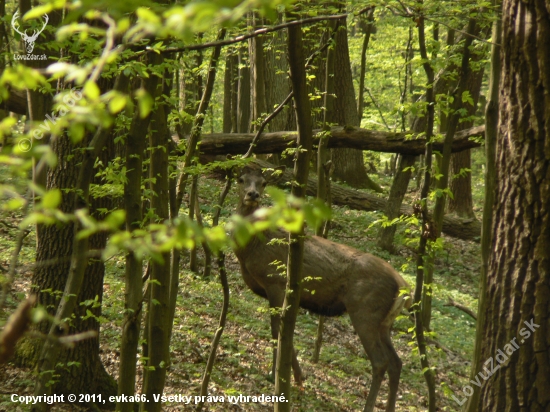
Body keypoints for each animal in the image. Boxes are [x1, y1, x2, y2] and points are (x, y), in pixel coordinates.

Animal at [234, 166, 414, 412]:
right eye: (241, 179)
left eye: (263, 183)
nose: (252, 194)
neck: (251, 248)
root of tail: (404, 287)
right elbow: (287, 334)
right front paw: (299, 378)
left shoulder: (276, 283)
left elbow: (277, 331)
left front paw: (275, 375)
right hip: (385, 322)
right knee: (397, 361)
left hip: (365, 310)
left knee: (380, 361)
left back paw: (368, 406)